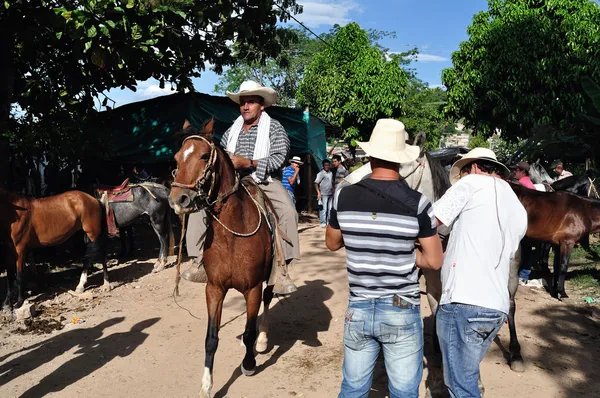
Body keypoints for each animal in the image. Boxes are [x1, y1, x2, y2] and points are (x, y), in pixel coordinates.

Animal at [166, 119, 274, 396]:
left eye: (204, 156)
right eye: (176, 158)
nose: (178, 200)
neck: (232, 235)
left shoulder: (253, 288)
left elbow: (249, 330)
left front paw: (249, 363)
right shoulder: (214, 289)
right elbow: (211, 338)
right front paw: (207, 384)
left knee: (268, 300)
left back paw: (262, 339)